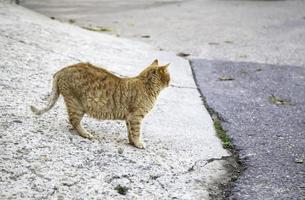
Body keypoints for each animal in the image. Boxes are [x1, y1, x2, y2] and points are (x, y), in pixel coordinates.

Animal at [30, 59, 170, 148]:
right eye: (169, 76)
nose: (170, 82)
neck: (147, 86)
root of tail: (63, 69)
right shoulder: (136, 117)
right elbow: (136, 132)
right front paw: (138, 143)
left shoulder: (130, 118)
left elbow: (130, 132)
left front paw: (131, 142)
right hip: (77, 105)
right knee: (73, 121)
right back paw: (86, 134)